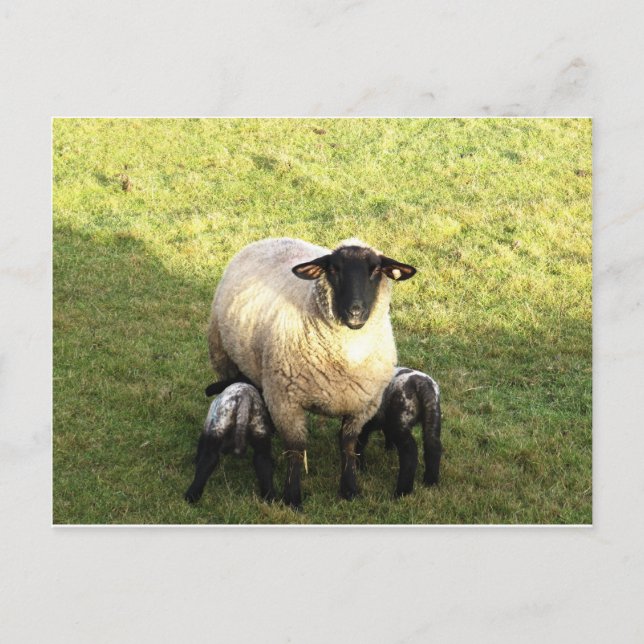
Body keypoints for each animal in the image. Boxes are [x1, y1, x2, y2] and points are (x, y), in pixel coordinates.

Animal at [207, 237, 416, 509]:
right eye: (334, 269)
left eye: (376, 270)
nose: (355, 312)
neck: (347, 356)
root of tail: (269, 239)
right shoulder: (286, 401)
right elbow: (296, 450)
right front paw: (292, 498)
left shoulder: (362, 405)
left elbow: (348, 446)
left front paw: (349, 489)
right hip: (224, 358)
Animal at [356, 367, 442, 496]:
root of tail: (423, 386)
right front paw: (389, 449)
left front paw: (359, 467)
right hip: (432, 415)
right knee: (433, 446)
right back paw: (430, 482)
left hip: (401, 417)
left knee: (409, 451)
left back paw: (402, 491)